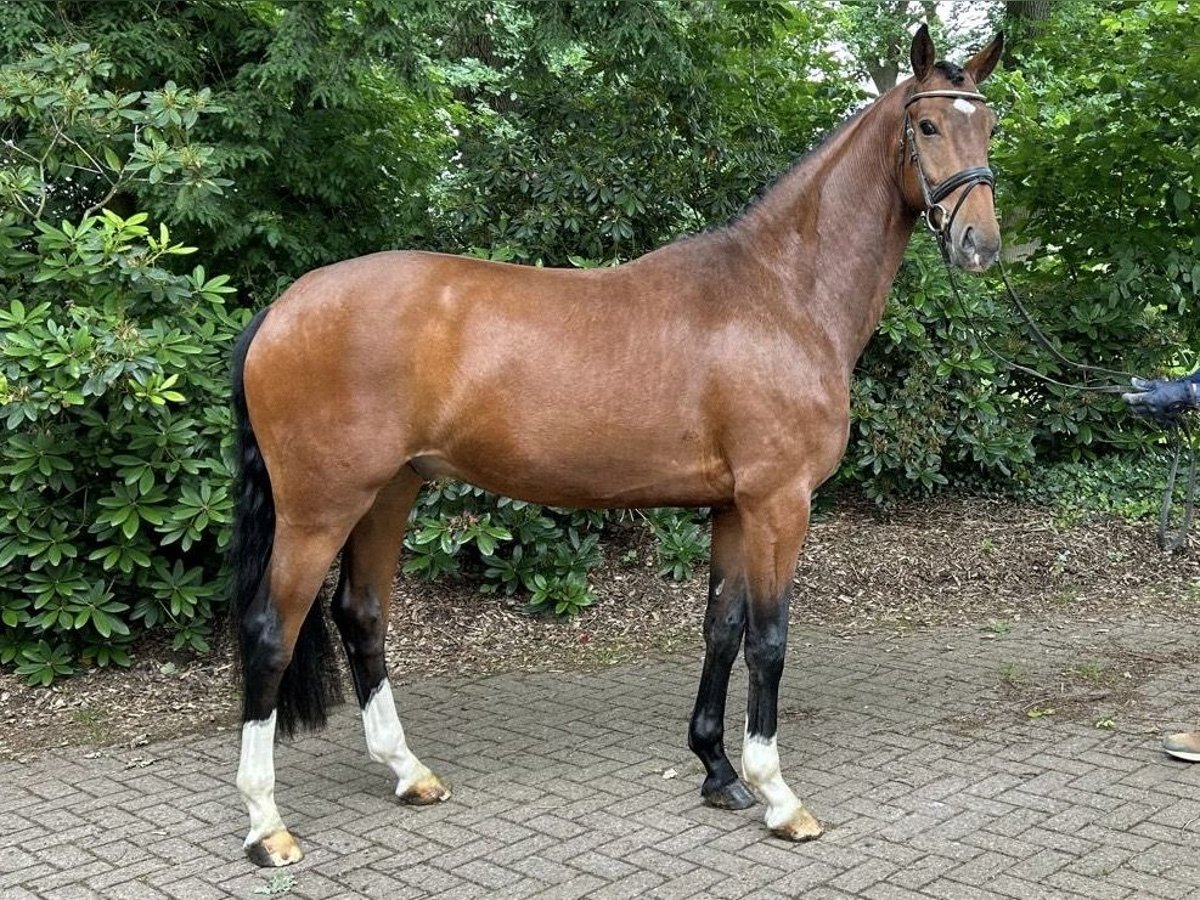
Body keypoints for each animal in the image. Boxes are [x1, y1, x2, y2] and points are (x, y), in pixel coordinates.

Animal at [231, 26, 1003, 868]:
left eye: (990, 125)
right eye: (927, 125)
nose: (980, 244)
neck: (781, 295)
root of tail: (283, 308)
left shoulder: (734, 507)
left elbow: (722, 629)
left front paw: (717, 771)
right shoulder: (779, 502)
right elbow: (768, 640)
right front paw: (778, 796)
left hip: (389, 493)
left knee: (362, 615)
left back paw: (409, 773)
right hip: (320, 508)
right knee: (271, 633)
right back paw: (267, 824)